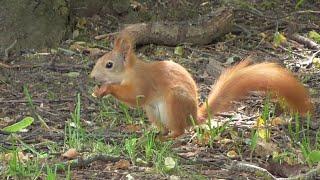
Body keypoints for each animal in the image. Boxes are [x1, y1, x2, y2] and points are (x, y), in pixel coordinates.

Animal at [90, 34, 312, 140]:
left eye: (109, 64)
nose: (92, 76)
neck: (130, 72)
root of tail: (193, 117)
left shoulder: (143, 83)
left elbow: (135, 97)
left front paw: (106, 89)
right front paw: (97, 90)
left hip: (173, 103)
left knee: (179, 131)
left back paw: (167, 138)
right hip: (153, 112)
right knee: (165, 128)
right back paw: (154, 134)